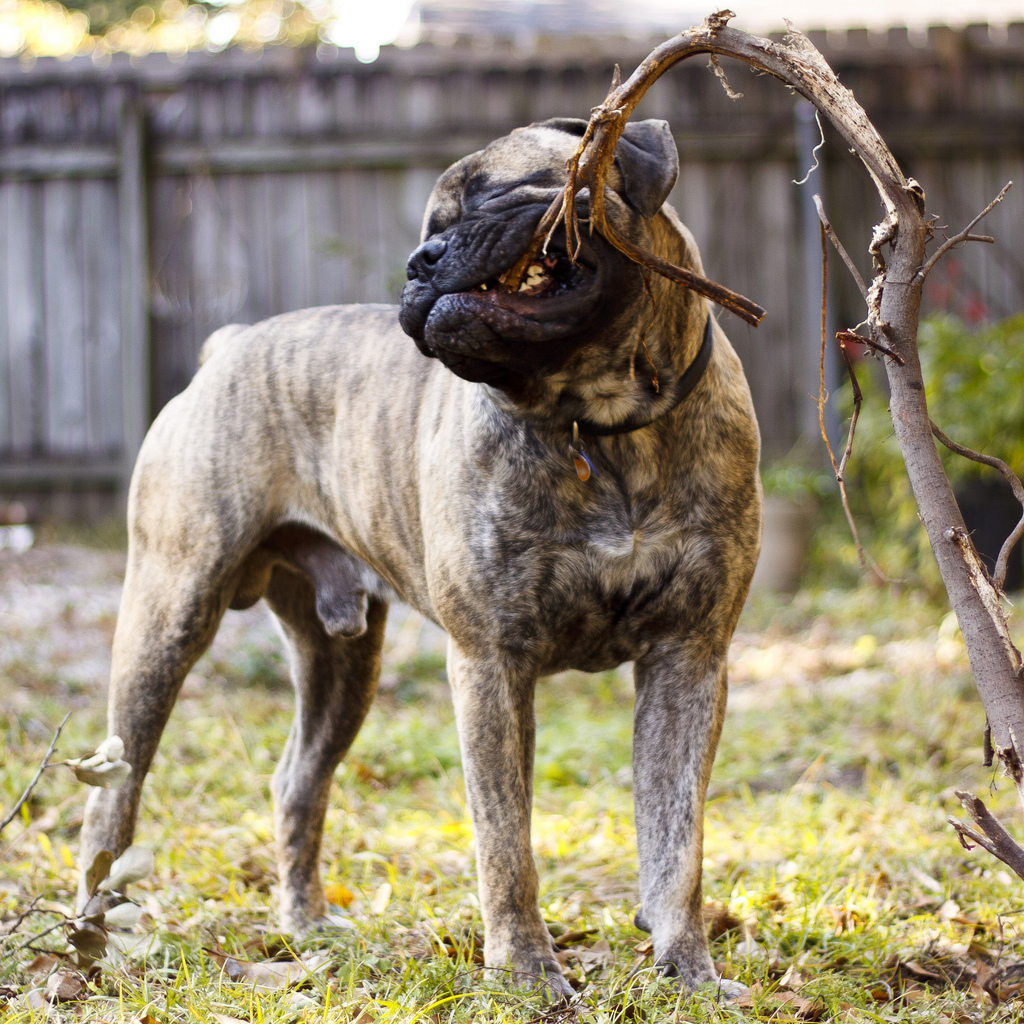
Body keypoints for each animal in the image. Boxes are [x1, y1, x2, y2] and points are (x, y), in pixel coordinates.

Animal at [77, 116, 761, 995]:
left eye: (501, 192)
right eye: (432, 225)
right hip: (168, 617)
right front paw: (527, 973)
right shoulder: (490, 664)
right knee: (114, 794)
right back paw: (90, 939)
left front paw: (688, 972)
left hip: (342, 665)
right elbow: (506, 841)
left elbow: (677, 838)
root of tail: (226, 347)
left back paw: (306, 927)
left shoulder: (688, 658)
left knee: (298, 781)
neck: (601, 426)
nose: (421, 260)